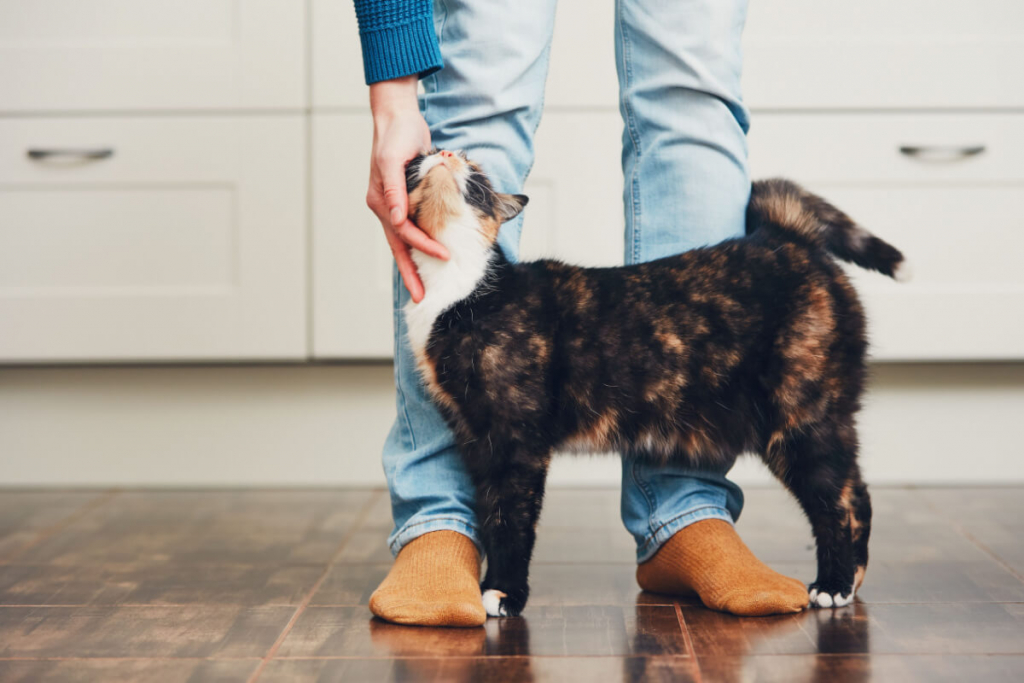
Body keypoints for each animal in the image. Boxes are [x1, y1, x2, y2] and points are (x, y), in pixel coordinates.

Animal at [399, 147, 905, 618]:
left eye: (477, 174)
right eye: (421, 158)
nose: (445, 152)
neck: (459, 289)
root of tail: (784, 237)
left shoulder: (517, 441)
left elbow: (512, 520)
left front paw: (504, 592)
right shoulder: (476, 439)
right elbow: (491, 513)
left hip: (802, 417)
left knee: (840, 499)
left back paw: (834, 584)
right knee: (853, 492)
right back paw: (849, 579)